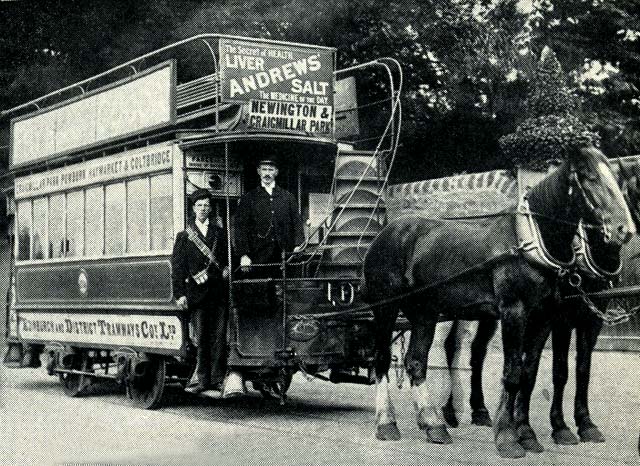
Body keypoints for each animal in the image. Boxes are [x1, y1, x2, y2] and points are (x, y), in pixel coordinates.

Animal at [360, 146, 636, 458]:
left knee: (416, 361)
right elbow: (514, 372)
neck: (530, 242)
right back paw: (387, 423)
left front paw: (526, 434)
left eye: (616, 181)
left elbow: (530, 372)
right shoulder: (515, 312)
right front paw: (508, 437)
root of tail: (385, 234)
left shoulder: (544, 317)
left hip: (425, 312)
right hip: (387, 306)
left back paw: (434, 425)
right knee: (383, 358)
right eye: (590, 178)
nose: (624, 229)